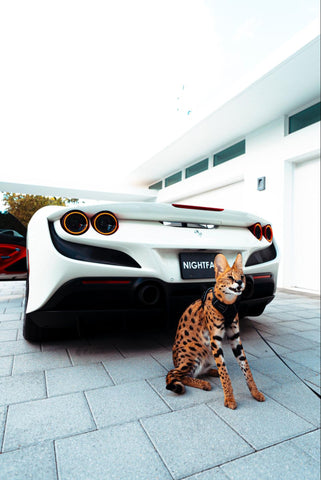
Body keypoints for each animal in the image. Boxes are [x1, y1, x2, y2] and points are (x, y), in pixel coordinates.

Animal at [165, 251, 264, 408]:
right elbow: (224, 371)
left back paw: (210, 373)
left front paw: (255, 392)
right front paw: (229, 399)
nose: (240, 282)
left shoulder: (235, 338)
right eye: (230, 277)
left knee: (190, 373)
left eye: (241, 276)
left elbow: (245, 367)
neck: (228, 304)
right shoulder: (215, 340)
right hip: (196, 351)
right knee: (174, 374)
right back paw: (204, 383)